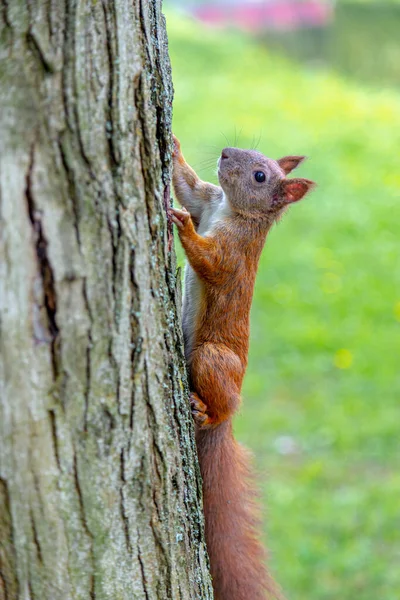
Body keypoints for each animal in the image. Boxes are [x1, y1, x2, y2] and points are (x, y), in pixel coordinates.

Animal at [170, 136, 316, 600]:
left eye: (260, 176)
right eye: (251, 154)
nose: (225, 152)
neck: (233, 211)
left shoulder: (232, 255)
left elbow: (209, 261)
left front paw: (183, 228)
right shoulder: (208, 199)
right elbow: (188, 187)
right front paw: (173, 145)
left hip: (213, 357)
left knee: (223, 403)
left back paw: (207, 411)